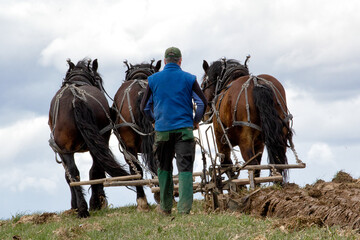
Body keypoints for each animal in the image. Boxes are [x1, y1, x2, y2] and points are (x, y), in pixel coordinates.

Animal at [48, 58, 129, 218]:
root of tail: (76, 98)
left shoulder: (62, 150)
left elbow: (69, 175)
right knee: (91, 170)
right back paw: (91, 205)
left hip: (68, 148)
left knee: (77, 173)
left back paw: (83, 207)